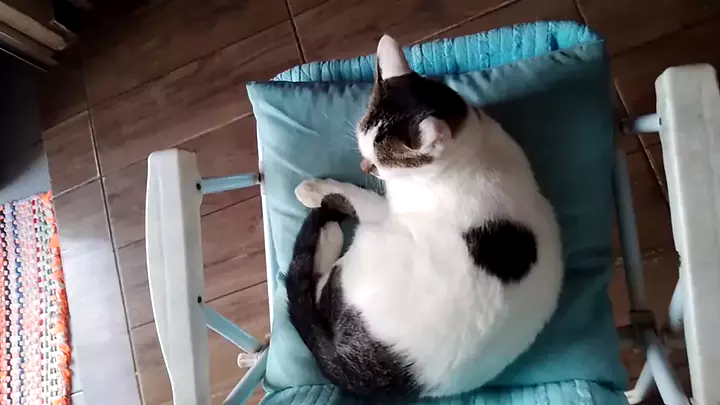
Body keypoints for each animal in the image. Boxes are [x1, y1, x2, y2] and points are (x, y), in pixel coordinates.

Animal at [285, 35, 563, 398]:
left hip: (368, 252)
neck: (473, 148)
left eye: (379, 163)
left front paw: (316, 190)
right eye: (362, 148)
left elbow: (357, 196)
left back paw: (330, 235)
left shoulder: (388, 210)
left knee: (314, 292)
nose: (363, 166)